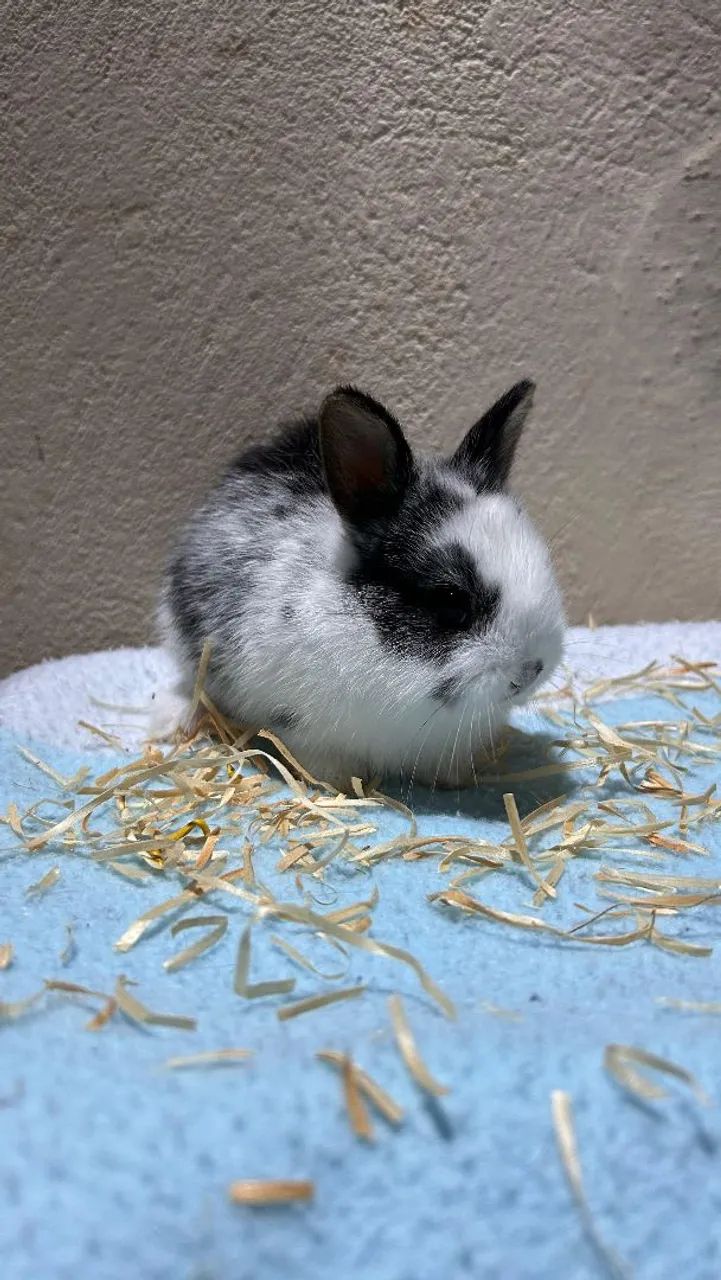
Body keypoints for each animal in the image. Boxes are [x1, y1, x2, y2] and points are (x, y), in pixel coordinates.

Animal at [154, 380, 565, 788]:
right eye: (449, 600)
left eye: (545, 564)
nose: (531, 670)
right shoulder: (304, 731)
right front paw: (342, 785)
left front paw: (459, 777)